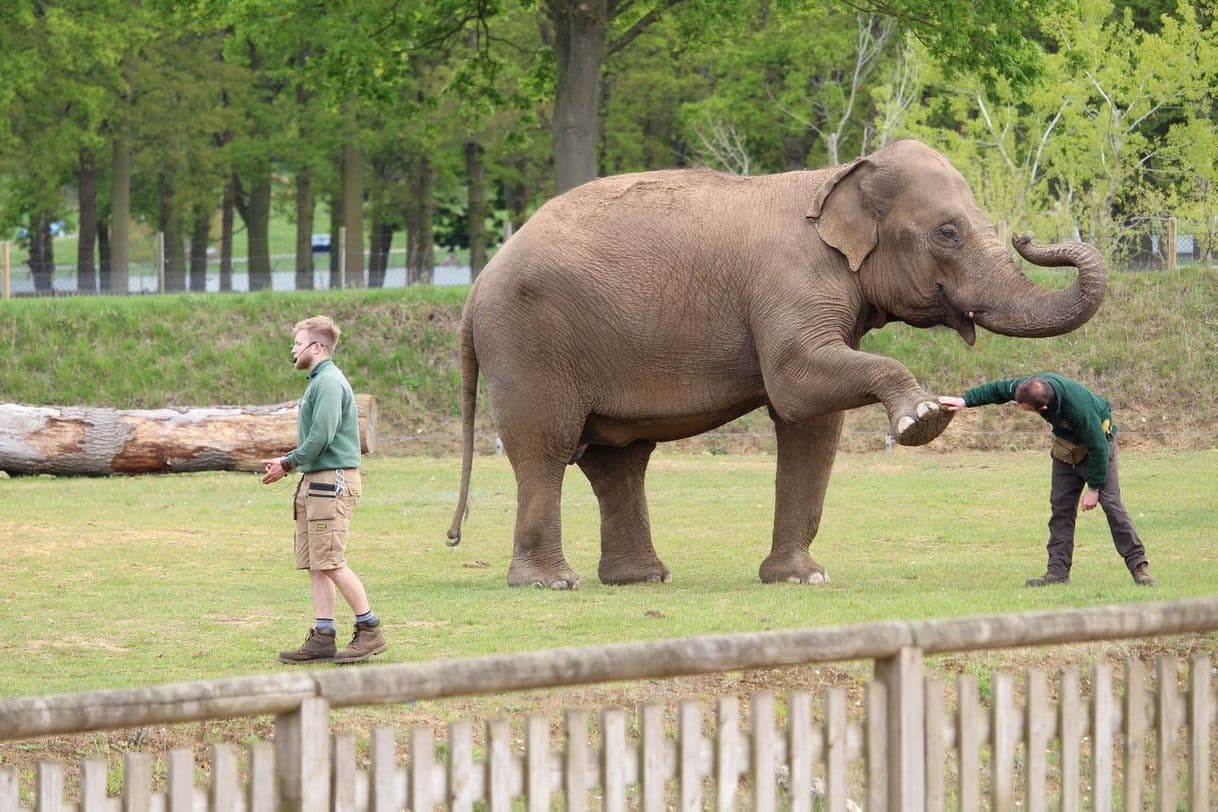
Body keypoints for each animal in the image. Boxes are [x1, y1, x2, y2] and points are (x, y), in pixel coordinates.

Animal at [445, 138, 1105, 584]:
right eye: (947, 231)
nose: (1027, 236)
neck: (837, 178)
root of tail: (476, 287)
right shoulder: (791, 284)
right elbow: (796, 385)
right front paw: (922, 419)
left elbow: (811, 422)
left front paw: (801, 577)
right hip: (529, 344)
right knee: (547, 447)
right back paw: (552, 583)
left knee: (618, 461)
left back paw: (641, 579)